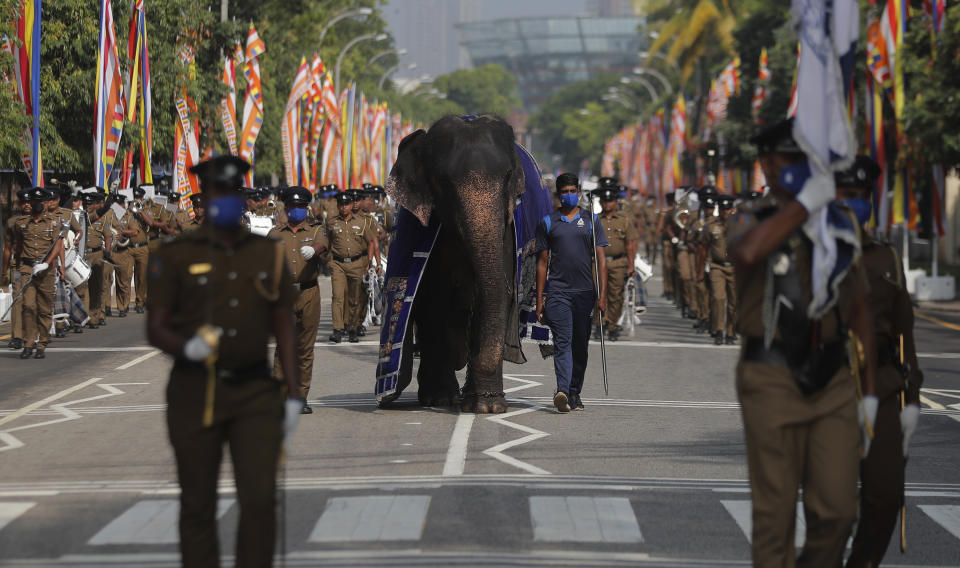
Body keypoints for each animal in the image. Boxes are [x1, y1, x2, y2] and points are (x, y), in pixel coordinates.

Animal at [376, 114, 552, 412]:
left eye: (507, 177)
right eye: (443, 181)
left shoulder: (506, 227)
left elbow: (490, 295)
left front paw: (487, 407)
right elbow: (434, 297)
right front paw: (441, 399)